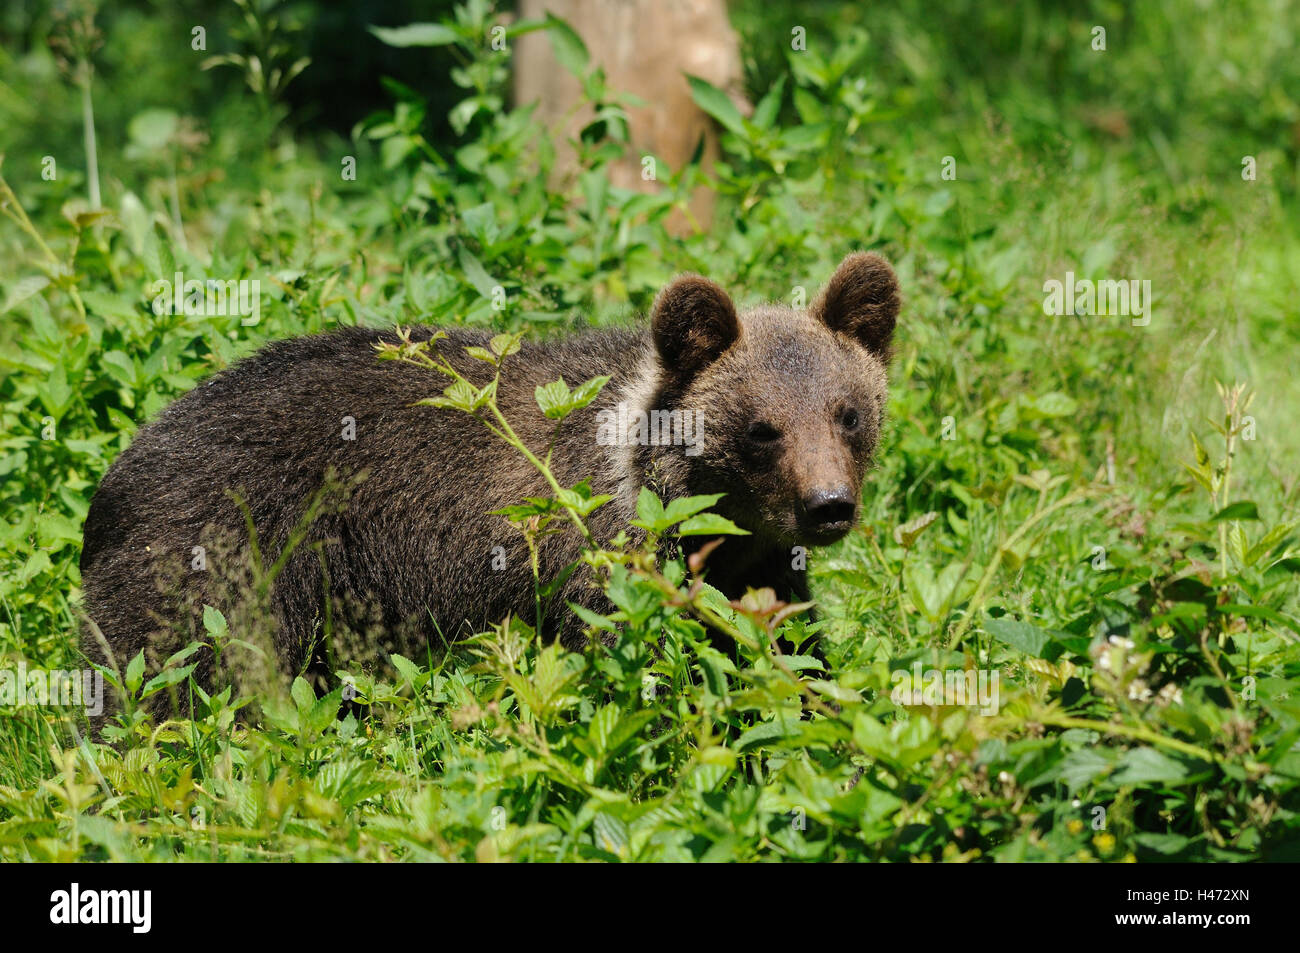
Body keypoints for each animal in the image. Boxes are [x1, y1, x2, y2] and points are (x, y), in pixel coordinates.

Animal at [78, 252, 894, 712]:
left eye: (849, 413)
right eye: (762, 428)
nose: (828, 506)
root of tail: (120, 467)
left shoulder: (757, 570)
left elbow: (789, 653)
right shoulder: (596, 559)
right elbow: (630, 660)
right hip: (224, 553)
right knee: (166, 672)